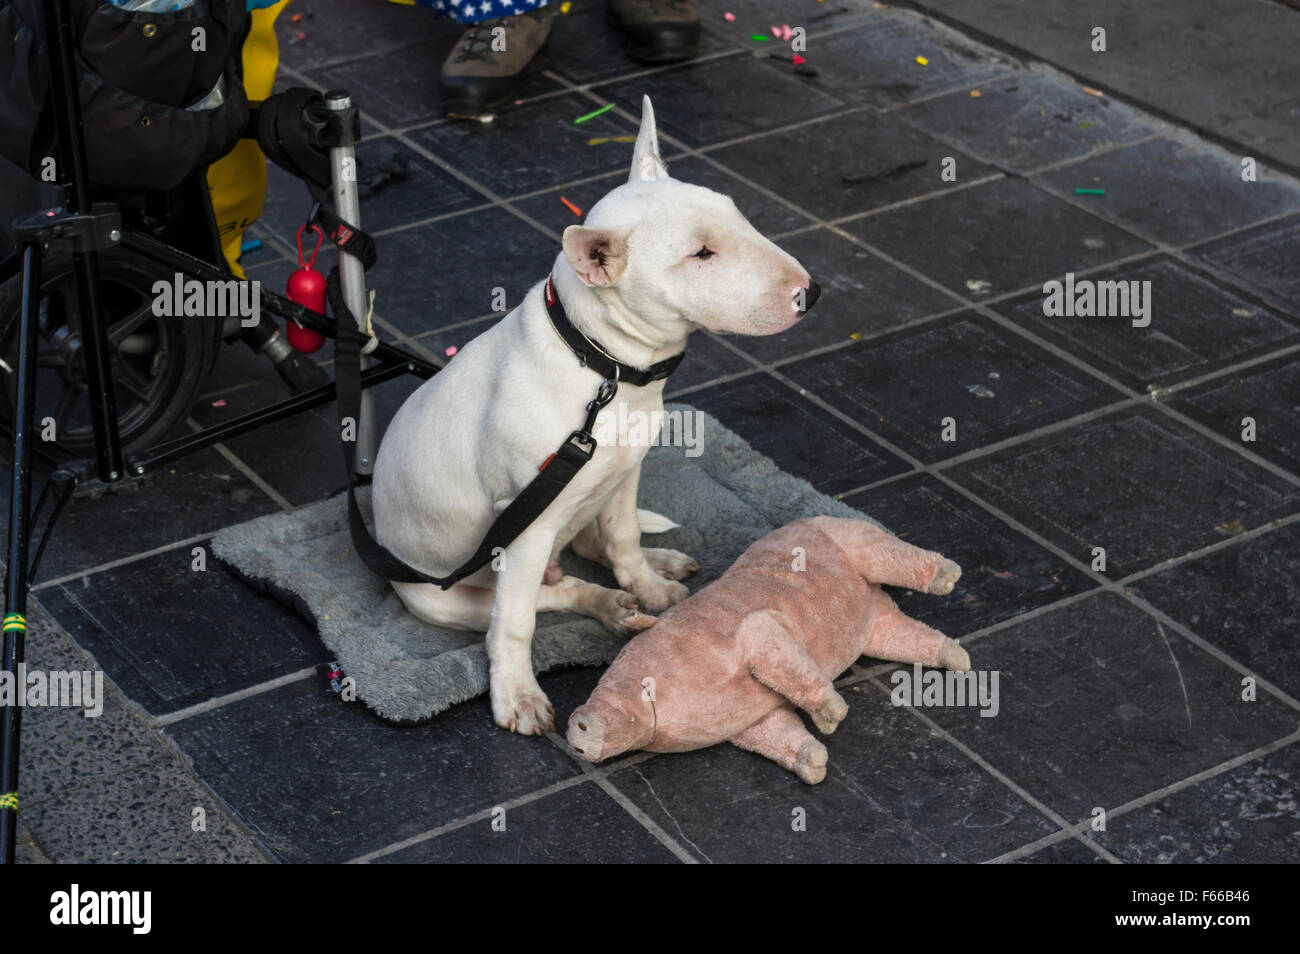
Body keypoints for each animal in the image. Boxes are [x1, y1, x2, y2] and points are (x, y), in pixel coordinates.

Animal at [371, 95, 816, 738]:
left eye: (737, 216)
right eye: (701, 253)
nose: (812, 293)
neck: (605, 370)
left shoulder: (625, 470)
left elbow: (624, 534)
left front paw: (649, 586)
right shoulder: (524, 527)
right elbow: (516, 623)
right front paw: (516, 697)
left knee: (589, 548)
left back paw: (649, 576)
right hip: (442, 594)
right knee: (537, 599)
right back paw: (606, 607)